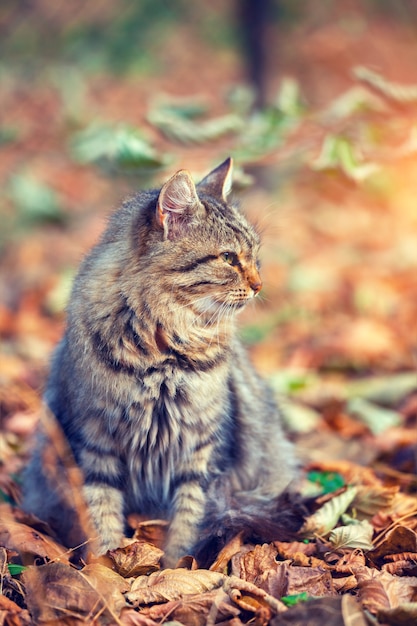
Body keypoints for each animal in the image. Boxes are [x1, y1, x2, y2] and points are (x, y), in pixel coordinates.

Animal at [22, 157, 300, 564]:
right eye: (228, 258)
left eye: (254, 256)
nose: (259, 285)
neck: (162, 354)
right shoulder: (94, 441)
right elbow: (101, 514)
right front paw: (108, 567)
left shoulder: (202, 453)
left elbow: (187, 522)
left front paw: (175, 567)